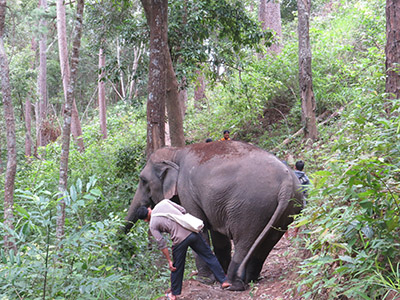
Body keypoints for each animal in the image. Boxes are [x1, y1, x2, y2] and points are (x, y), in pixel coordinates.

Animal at [123, 141, 302, 290]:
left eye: (143, 180)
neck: (176, 151)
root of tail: (287, 181)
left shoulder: (186, 190)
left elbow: (198, 229)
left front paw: (204, 280)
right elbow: (218, 236)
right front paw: (218, 273)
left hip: (251, 207)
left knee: (245, 241)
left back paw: (233, 284)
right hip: (286, 209)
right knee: (268, 241)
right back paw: (250, 279)